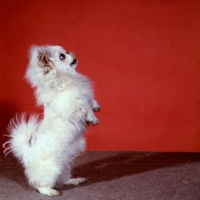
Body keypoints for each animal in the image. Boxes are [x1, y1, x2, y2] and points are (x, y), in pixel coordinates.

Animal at [3, 45, 100, 195]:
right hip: (52, 170)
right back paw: (51, 192)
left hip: (64, 166)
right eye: (62, 56)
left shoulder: (86, 96)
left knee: (62, 180)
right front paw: (93, 118)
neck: (68, 78)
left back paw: (74, 180)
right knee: (39, 185)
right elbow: (85, 108)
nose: (70, 53)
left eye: (65, 52)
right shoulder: (74, 104)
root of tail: (28, 152)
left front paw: (96, 107)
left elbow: (91, 101)